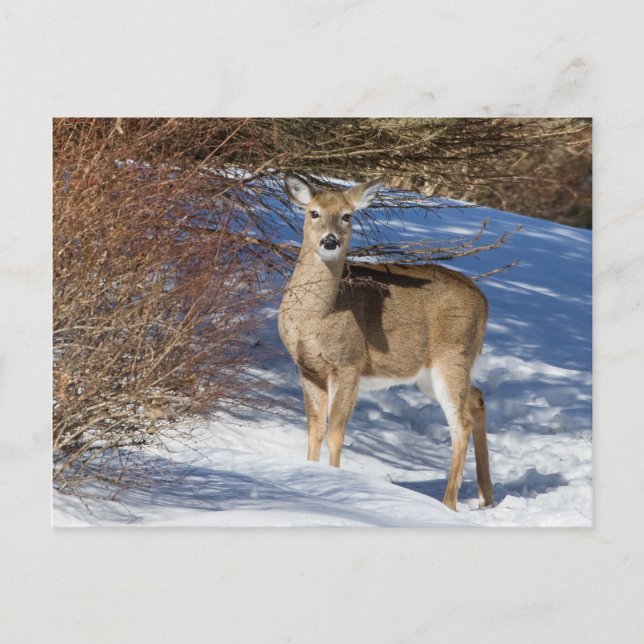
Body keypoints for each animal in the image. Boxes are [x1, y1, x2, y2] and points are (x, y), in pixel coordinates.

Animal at [277, 174, 494, 511]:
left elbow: (336, 431)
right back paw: (486, 497)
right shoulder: (309, 368)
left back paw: (448, 504)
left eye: (347, 216)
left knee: (461, 424)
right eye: (313, 212)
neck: (316, 318)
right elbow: (314, 429)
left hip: (451, 355)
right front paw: (310, 475)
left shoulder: (349, 364)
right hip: (431, 373)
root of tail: (484, 301)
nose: (330, 241)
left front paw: (336, 482)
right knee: (477, 398)